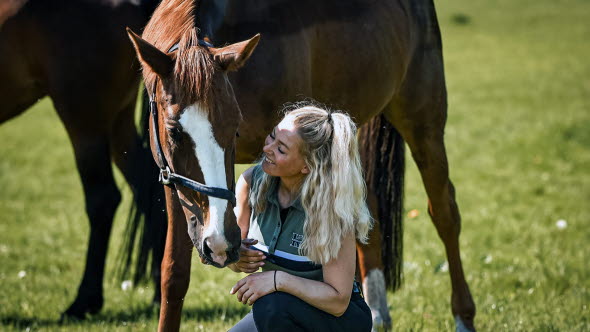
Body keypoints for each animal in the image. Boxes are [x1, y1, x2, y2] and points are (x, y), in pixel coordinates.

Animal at [0, 0, 166, 320]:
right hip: (117, 120)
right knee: (149, 190)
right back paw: (159, 295)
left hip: (84, 118)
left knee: (103, 198)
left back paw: (84, 301)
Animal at [128, 0, 476, 330]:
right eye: (174, 131)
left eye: (235, 127)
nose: (220, 241)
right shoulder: (177, 185)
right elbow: (174, 272)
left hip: (423, 119)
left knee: (444, 212)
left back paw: (463, 317)